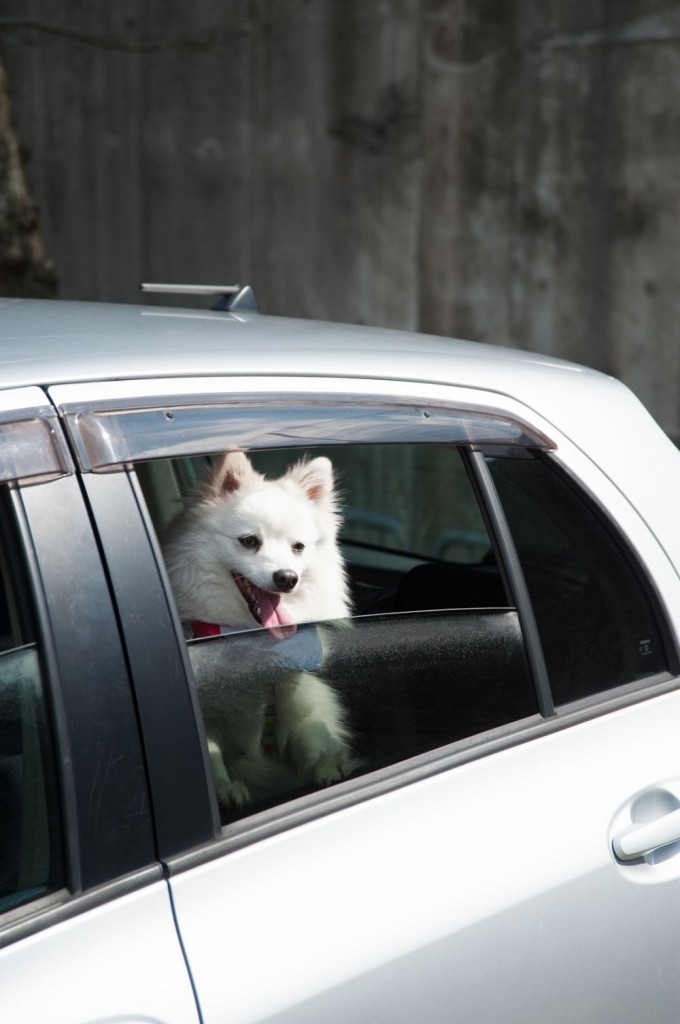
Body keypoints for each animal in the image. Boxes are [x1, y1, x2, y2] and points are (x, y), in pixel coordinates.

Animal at [163, 452, 356, 802]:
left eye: (298, 547)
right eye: (249, 541)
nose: (287, 578)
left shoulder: (296, 695)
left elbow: (309, 735)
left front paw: (327, 766)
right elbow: (211, 752)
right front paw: (226, 788)